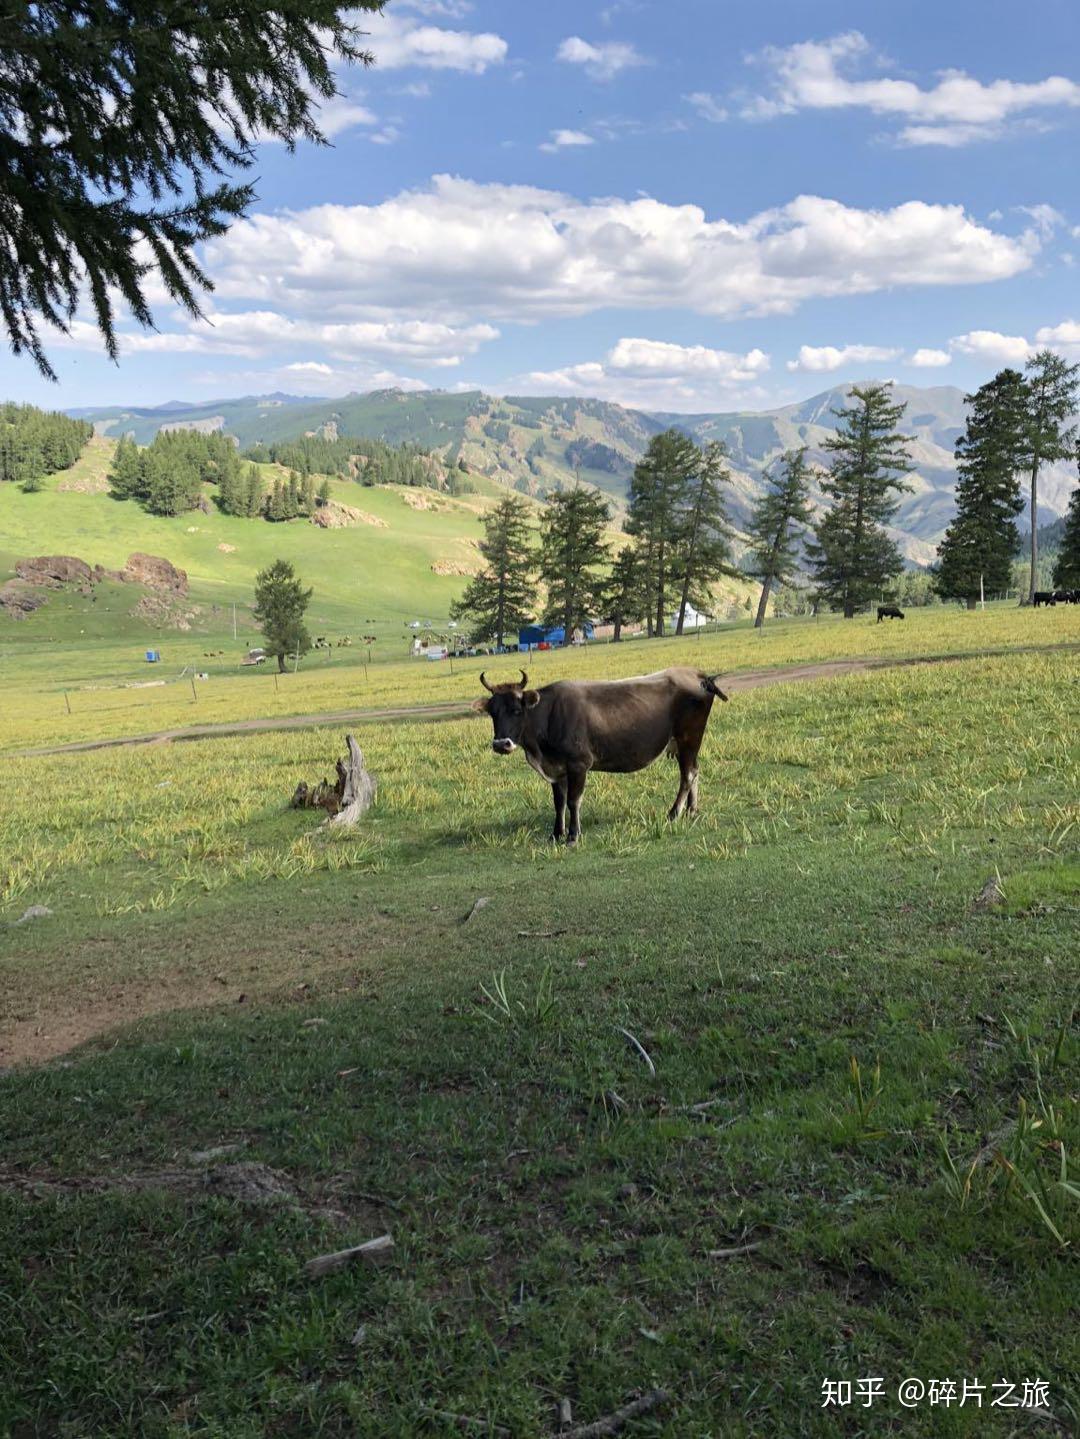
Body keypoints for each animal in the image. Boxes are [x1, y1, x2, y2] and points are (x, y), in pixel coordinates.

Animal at [471, 664, 727, 840]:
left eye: (516, 710)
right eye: (493, 712)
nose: (501, 744)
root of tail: (697, 674)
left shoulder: (578, 764)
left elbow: (573, 800)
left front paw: (573, 835)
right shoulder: (557, 768)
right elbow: (559, 802)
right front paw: (556, 834)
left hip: (688, 738)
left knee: (687, 775)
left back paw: (674, 813)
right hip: (688, 743)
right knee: (694, 770)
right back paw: (692, 810)